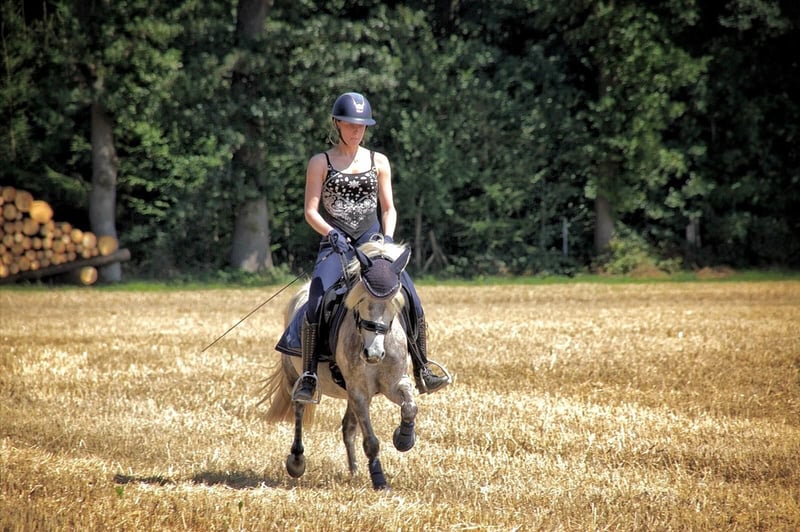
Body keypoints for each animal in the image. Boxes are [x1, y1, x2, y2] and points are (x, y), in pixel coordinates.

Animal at [260, 239, 419, 490]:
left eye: (395, 301)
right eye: (361, 299)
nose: (373, 354)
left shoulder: (394, 383)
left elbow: (410, 407)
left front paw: (403, 438)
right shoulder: (359, 391)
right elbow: (371, 440)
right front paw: (380, 481)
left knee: (348, 427)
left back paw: (354, 471)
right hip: (296, 377)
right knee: (299, 409)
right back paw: (297, 460)